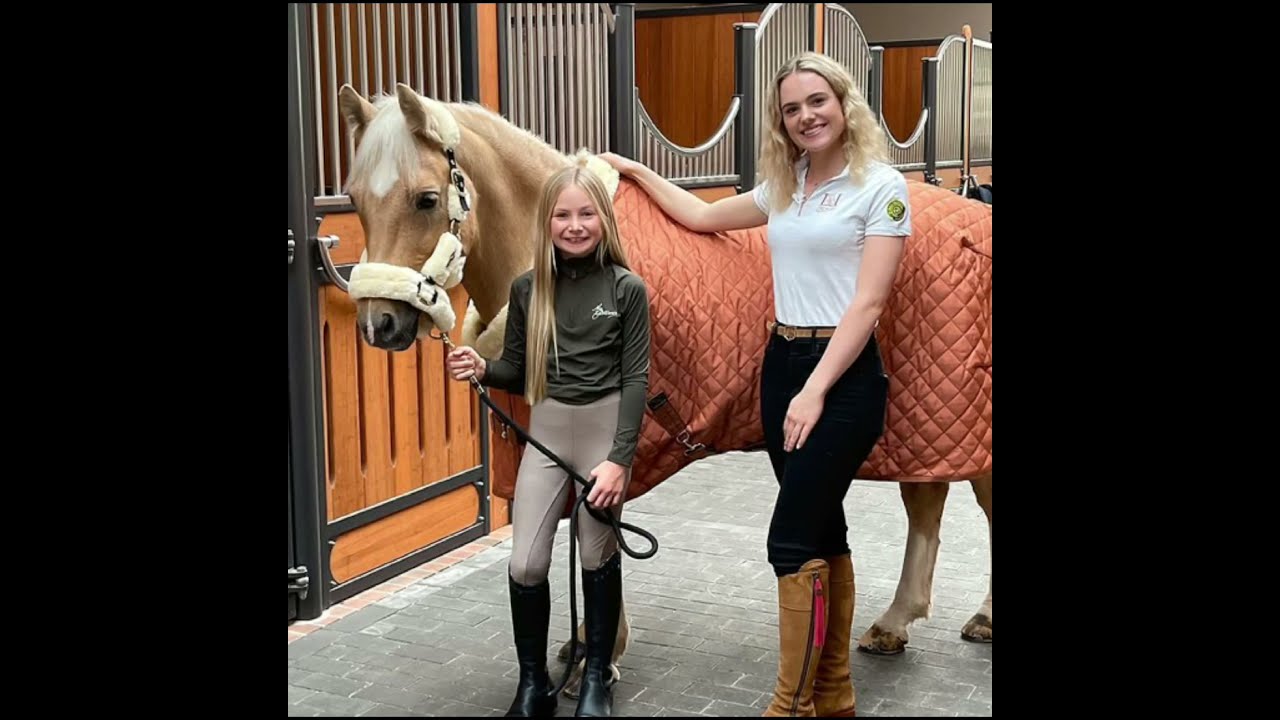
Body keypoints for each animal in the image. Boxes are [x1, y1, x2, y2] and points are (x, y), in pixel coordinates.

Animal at [335, 83, 992, 686]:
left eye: (425, 199)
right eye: (356, 200)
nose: (379, 324)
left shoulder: (618, 446)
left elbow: (601, 536)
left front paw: (600, 653)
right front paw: (581, 646)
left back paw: (978, 618)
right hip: (917, 426)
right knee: (927, 500)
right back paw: (894, 623)